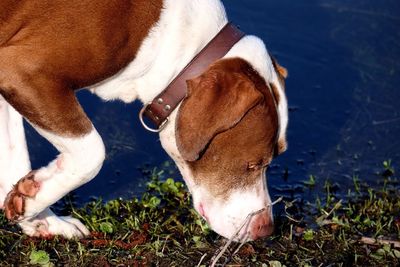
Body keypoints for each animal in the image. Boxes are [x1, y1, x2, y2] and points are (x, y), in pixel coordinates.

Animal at [0, 0, 288, 242]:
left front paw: (34, 215)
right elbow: (93, 154)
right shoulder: (23, 71)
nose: (265, 229)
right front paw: (33, 203)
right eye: (253, 164)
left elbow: (14, 158)